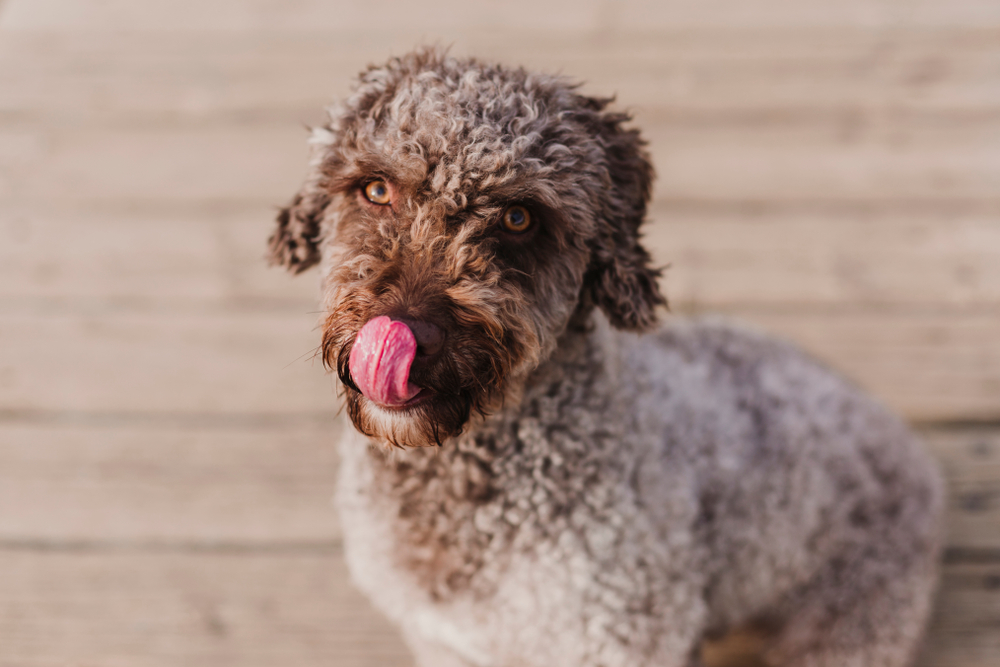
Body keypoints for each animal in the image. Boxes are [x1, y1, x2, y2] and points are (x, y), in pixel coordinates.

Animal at [268, 47, 944, 667]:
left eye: (519, 217)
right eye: (376, 188)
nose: (404, 332)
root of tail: (897, 435)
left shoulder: (622, 636)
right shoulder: (446, 642)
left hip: (850, 621)